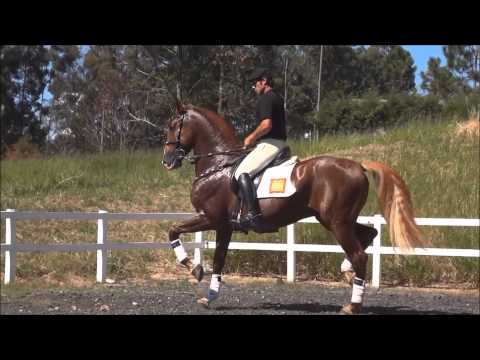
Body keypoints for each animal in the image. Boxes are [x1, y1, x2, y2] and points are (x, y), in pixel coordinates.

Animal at [163, 102, 426, 316]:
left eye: (173, 125)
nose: (167, 161)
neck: (218, 165)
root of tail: (359, 166)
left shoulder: (211, 218)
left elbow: (174, 231)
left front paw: (194, 268)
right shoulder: (225, 226)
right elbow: (218, 259)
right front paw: (210, 295)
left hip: (337, 222)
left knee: (360, 254)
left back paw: (353, 305)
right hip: (336, 219)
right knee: (369, 235)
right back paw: (347, 271)